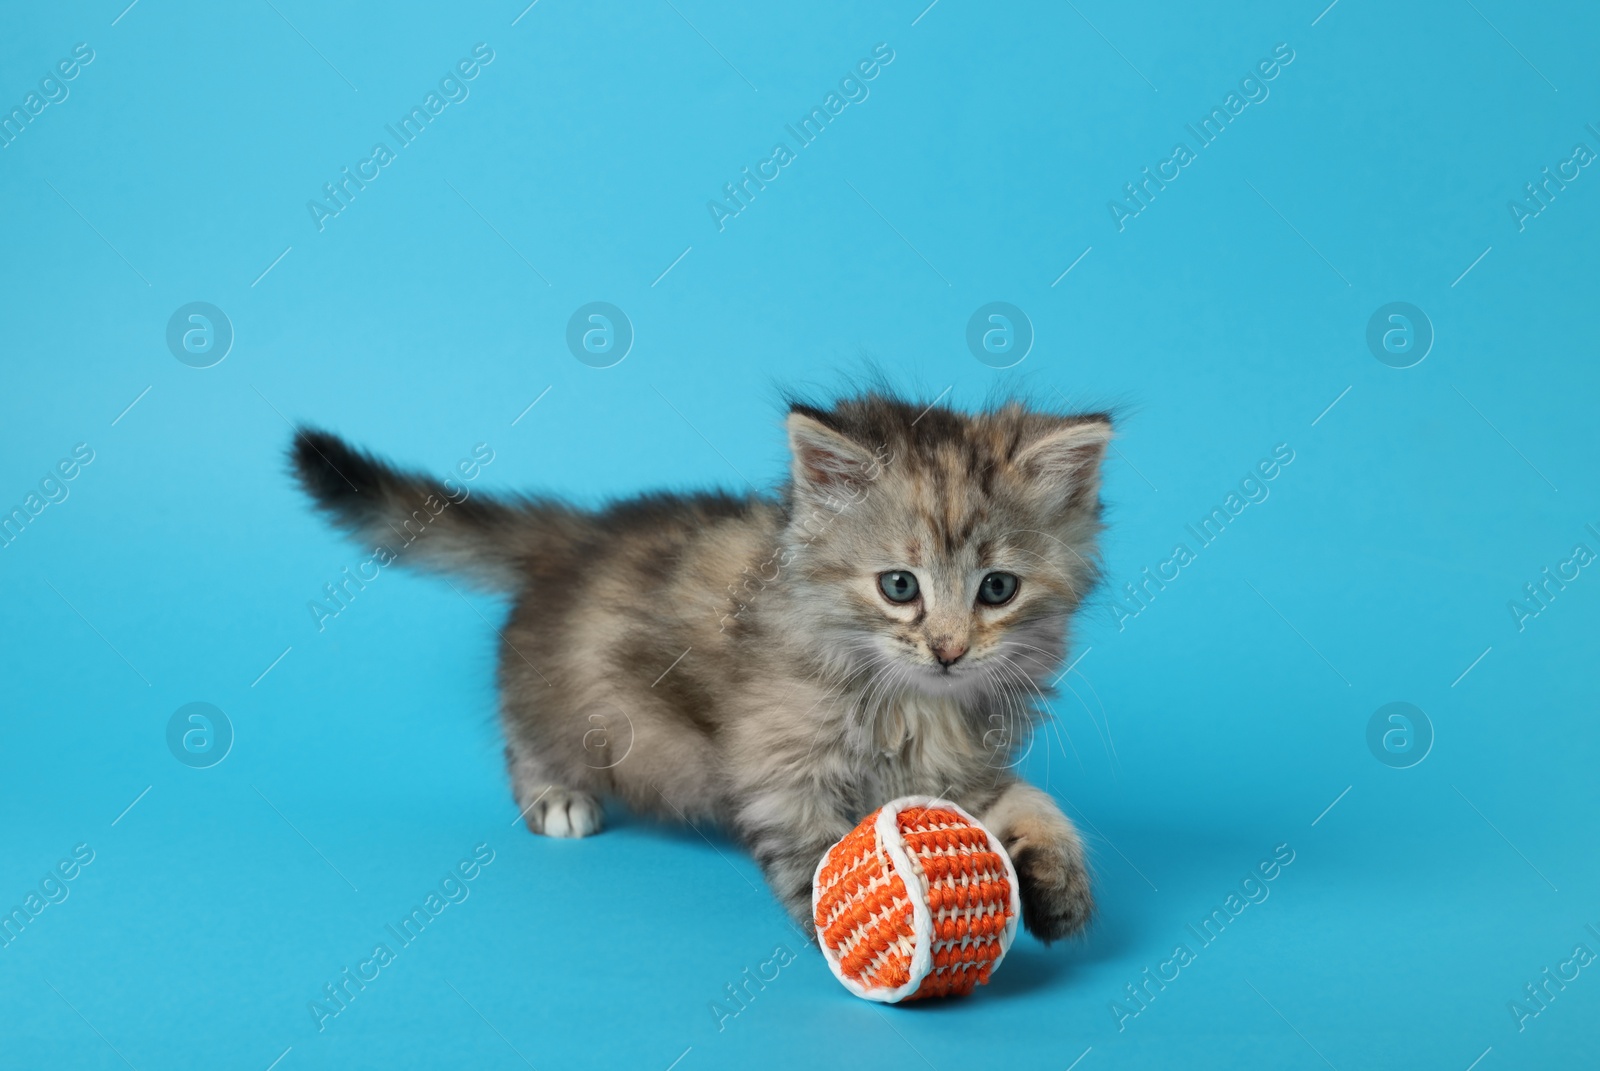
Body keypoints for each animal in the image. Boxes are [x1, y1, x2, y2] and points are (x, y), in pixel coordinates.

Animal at [291, 390, 1113, 934]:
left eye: (997, 589)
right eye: (900, 586)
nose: (948, 650)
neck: (912, 703)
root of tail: (577, 533)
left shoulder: (965, 769)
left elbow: (1034, 805)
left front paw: (1059, 884)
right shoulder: (782, 772)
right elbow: (822, 855)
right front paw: (862, 927)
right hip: (573, 702)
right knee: (526, 731)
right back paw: (555, 795)